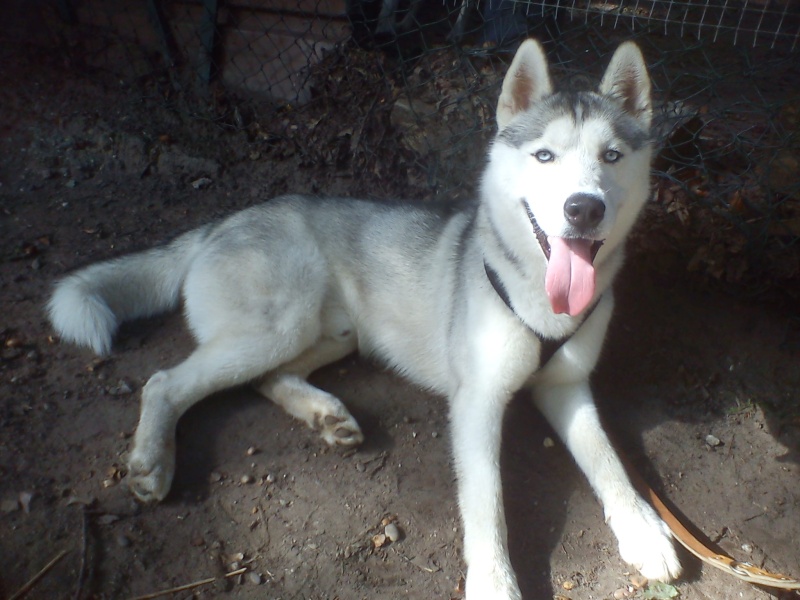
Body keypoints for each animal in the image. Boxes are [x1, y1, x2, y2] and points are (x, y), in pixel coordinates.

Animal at [47, 41, 680, 600]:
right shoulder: (476, 402)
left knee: (264, 378)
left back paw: (325, 415)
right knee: (164, 382)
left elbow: (610, 462)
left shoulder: (566, 387)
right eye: (545, 156)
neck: (539, 300)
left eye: (611, 157)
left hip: (336, 333)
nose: (584, 208)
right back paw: (153, 462)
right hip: (279, 326)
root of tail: (224, 221)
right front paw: (495, 582)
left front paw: (643, 529)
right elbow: (488, 506)